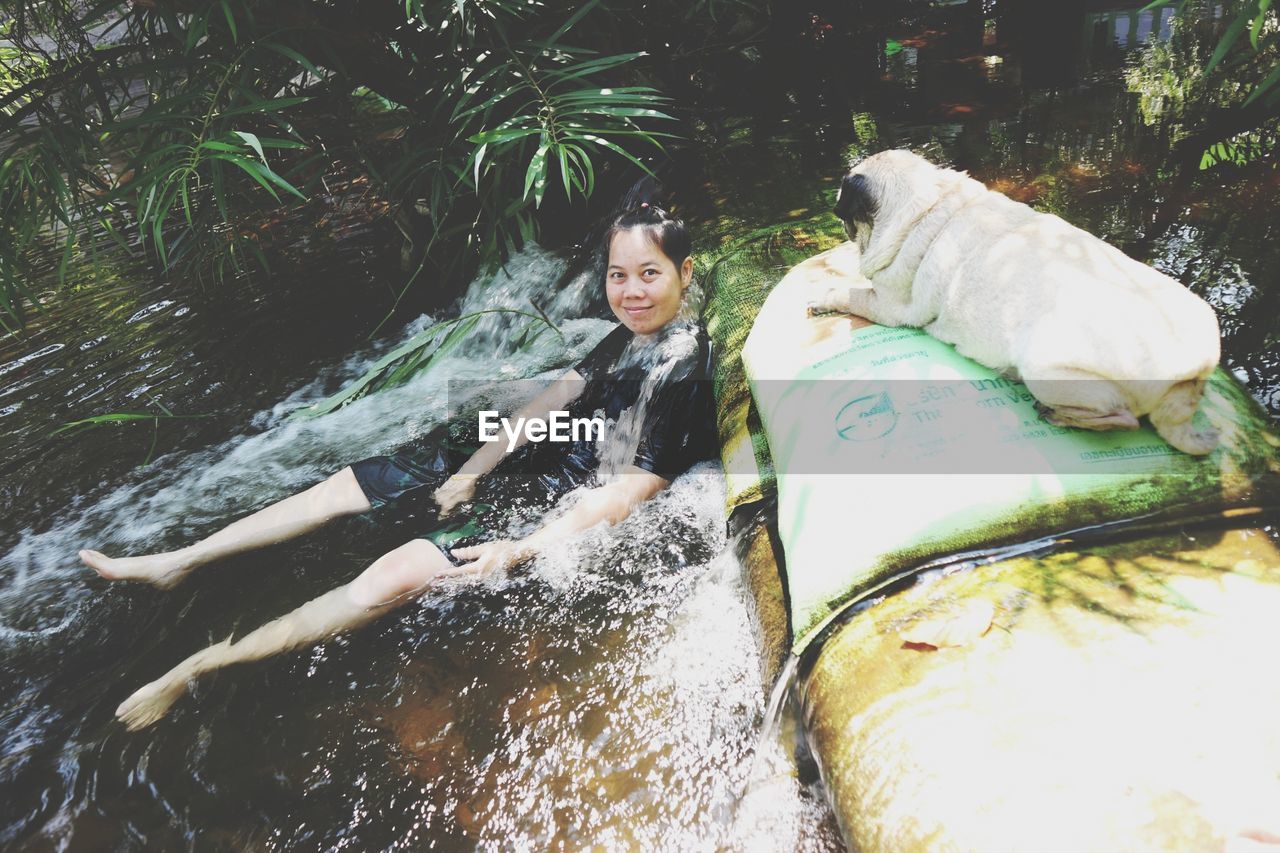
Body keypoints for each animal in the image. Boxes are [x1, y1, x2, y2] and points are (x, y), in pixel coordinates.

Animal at [808, 147, 1218, 450]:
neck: (927, 204)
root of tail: (1191, 373)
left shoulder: (888, 306)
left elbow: (850, 294)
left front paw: (825, 296)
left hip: (1047, 371)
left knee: (1124, 419)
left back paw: (1055, 413)